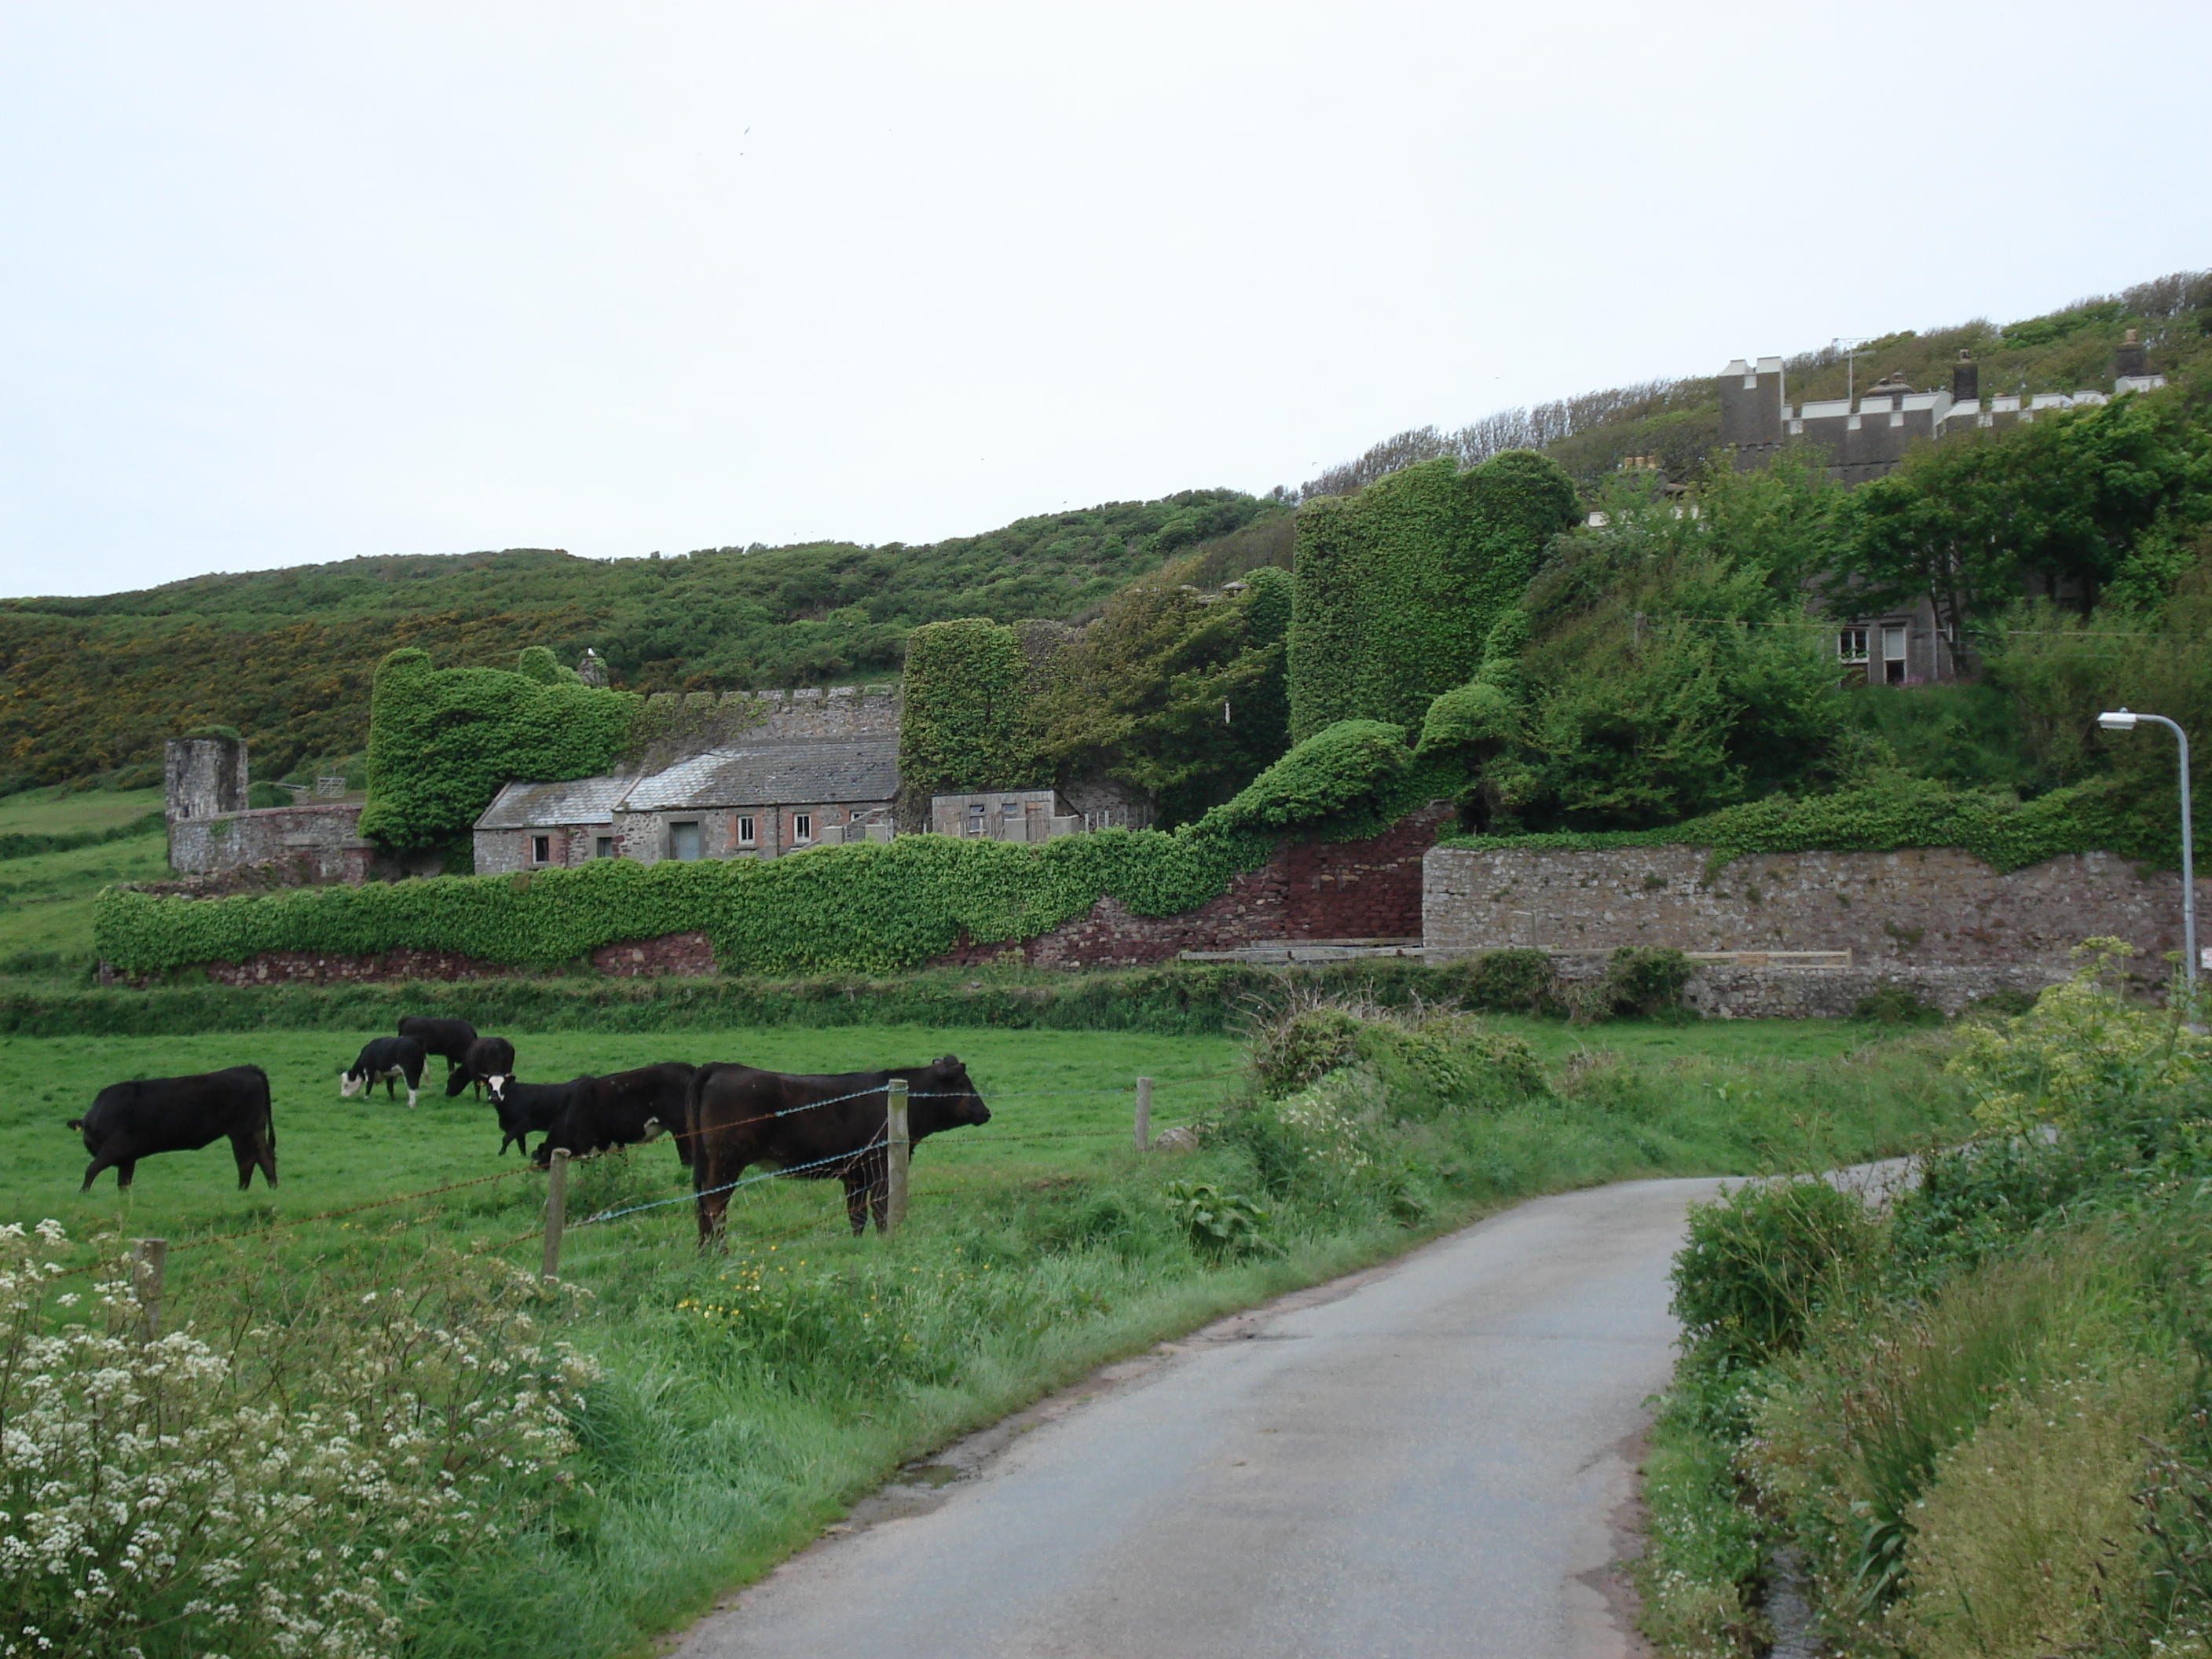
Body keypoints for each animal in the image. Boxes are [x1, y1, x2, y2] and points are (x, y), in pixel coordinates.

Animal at [68, 1066, 276, 1194]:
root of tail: (246, 1068)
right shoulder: (128, 1158)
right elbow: (124, 1183)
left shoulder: (116, 1148)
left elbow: (91, 1169)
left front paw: (83, 1193)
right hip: (254, 1129)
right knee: (264, 1156)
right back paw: (267, 1187)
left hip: (242, 1131)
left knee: (248, 1160)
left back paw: (246, 1190)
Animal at [484, 1070, 588, 1159]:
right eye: (489, 1085)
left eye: (503, 1085)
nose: (494, 1099)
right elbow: (521, 1144)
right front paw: (524, 1156)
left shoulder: (523, 1124)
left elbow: (506, 1138)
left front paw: (501, 1153)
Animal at [537, 1066, 698, 1167]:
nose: (540, 1168)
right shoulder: (615, 1140)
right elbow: (622, 1162)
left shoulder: (584, 1142)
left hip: (681, 1127)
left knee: (688, 1155)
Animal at [685, 1057, 991, 1238]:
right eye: (964, 1084)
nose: (986, 1112)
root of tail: (722, 1066)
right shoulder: (879, 1167)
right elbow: (880, 1210)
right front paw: (885, 1242)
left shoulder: (854, 1175)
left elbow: (857, 1215)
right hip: (726, 1162)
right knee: (714, 1206)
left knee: (703, 1206)